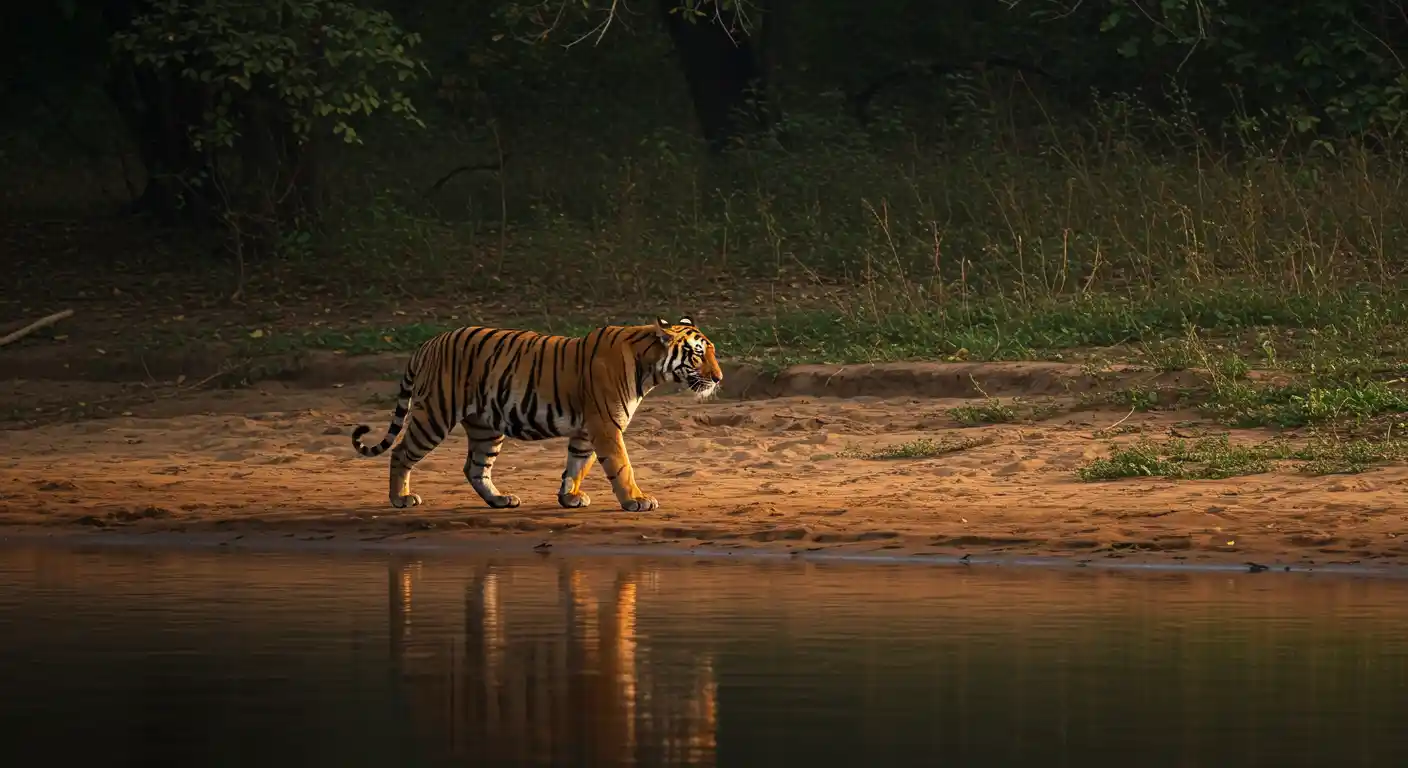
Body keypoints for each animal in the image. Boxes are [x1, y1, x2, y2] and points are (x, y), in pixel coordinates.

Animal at [350, 317, 722, 512]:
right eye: (697, 354)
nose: (719, 378)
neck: (650, 368)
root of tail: (427, 344)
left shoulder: (586, 430)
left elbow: (577, 465)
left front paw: (569, 497)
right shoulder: (605, 425)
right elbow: (621, 467)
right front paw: (636, 500)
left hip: (486, 427)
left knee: (474, 468)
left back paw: (500, 499)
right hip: (435, 415)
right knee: (401, 451)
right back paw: (400, 498)